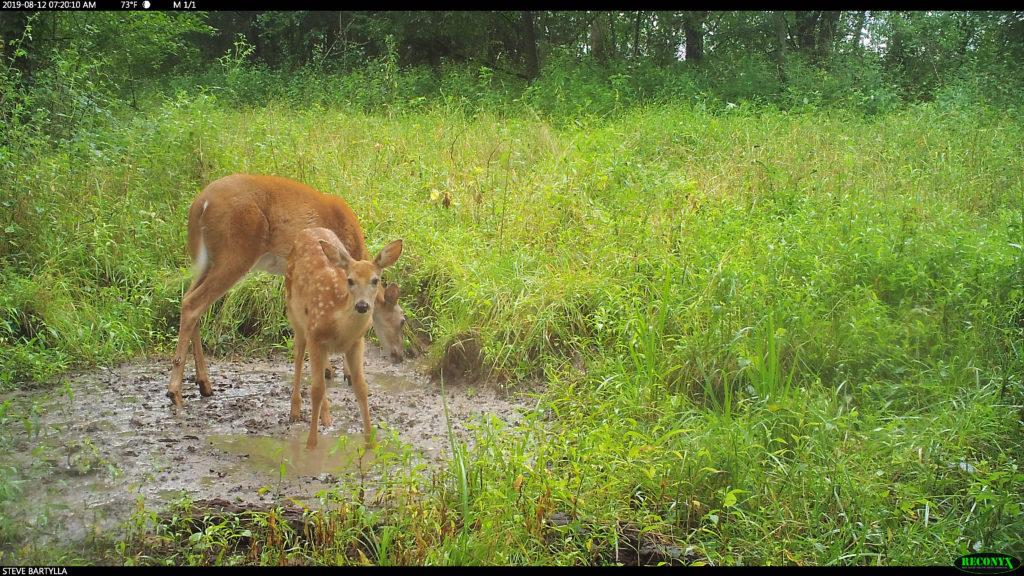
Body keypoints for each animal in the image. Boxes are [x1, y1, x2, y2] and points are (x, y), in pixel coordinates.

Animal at [165, 172, 405, 405]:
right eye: (402, 320)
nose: (401, 355)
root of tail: (200, 204)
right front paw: (341, 371)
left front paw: (329, 368)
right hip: (235, 253)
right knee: (193, 304)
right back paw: (175, 391)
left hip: (206, 260)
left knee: (189, 299)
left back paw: (204, 384)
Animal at [288, 226, 403, 446]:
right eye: (350, 280)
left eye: (375, 280)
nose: (362, 305)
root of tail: (308, 230)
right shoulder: (314, 335)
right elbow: (316, 389)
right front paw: (311, 444)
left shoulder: (356, 342)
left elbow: (361, 387)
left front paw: (370, 442)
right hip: (295, 317)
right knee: (298, 358)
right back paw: (295, 412)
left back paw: (326, 418)